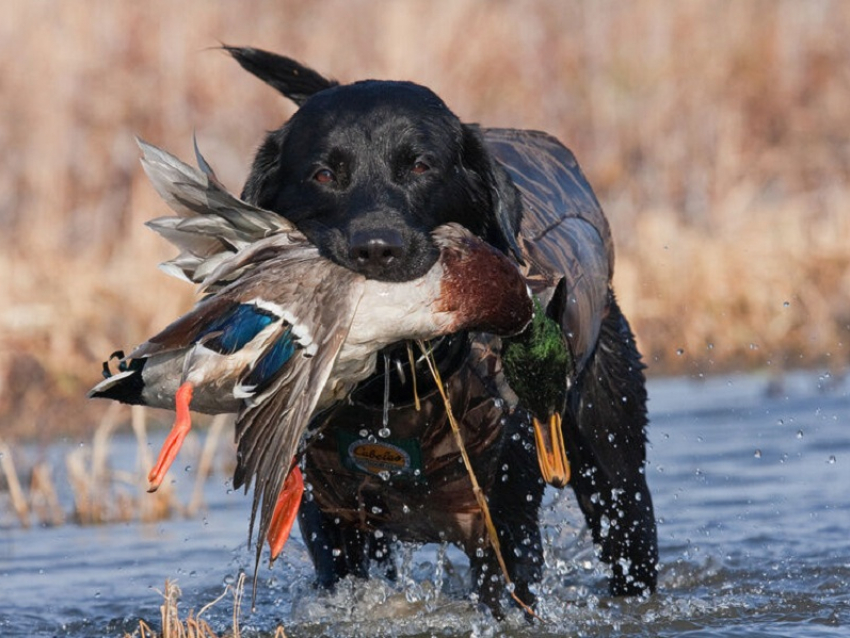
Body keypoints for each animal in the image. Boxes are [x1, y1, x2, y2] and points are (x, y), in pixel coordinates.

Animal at [227, 47, 656, 616]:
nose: (376, 248)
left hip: (616, 472)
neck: (393, 389)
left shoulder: (503, 525)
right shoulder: (333, 525)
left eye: (420, 165)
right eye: (323, 174)